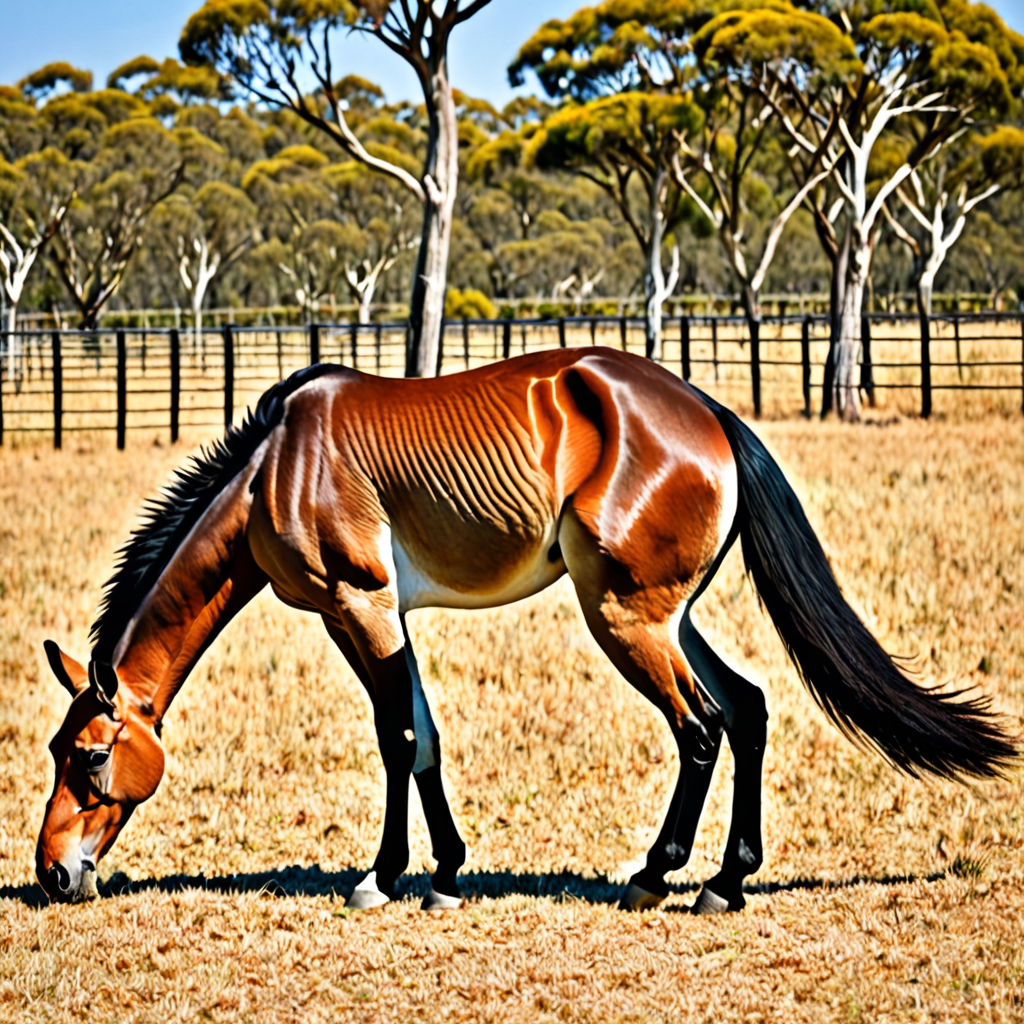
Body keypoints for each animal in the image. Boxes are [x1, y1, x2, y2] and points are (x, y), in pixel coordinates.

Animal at [36, 347, 1017, 910]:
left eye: (91, 757)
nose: (52, 873)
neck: (276, 467)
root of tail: (709, 415)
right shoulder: (387, 617)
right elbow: (425, 738)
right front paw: (443, 873)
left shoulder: (359, 607)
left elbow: (397, 739)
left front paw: (384, 877)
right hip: (666, 616)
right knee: (747, 709)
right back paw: (727, 879)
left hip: (624, 617)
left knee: (700, 727)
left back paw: (658, 876)